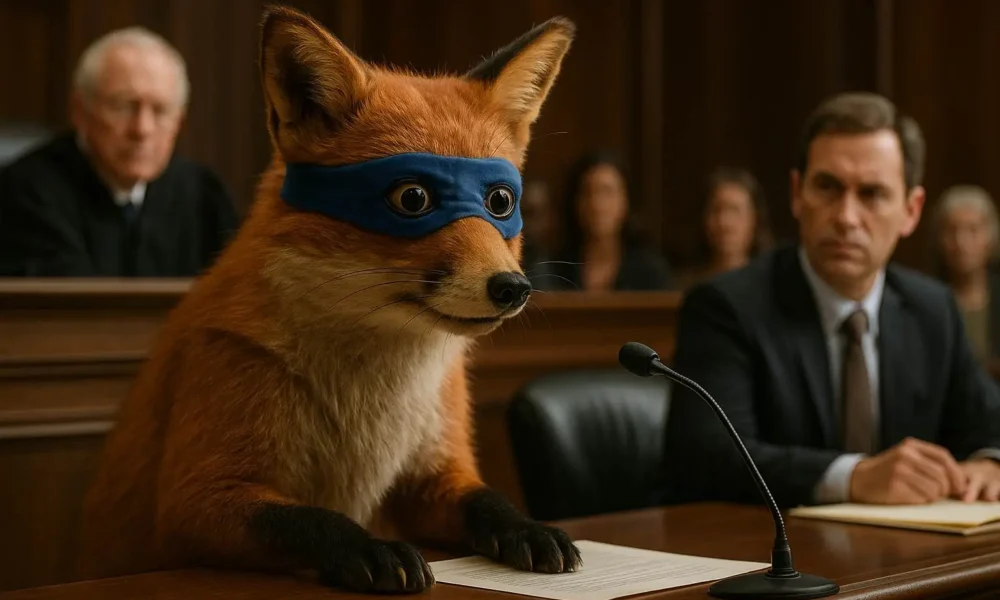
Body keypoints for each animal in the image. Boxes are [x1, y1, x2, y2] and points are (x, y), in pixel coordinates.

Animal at [73, 5, 579, 594]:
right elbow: (310, 520)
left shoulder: (432, 474)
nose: (513, 289)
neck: (370, 400)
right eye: (413, 198)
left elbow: (490, 501)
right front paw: (371, 550)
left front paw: (531, 529)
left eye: (500, 202)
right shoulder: (193, 500)